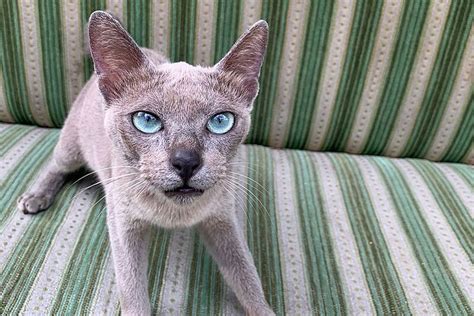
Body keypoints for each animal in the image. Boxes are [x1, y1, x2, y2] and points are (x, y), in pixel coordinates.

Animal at [15, 10, 274, 316]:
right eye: (146, 121)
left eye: (221, 122)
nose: (186, 162)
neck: (175, 215)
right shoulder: (123, 224)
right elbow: (132, 289)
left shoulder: (224, 220)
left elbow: (247, 276)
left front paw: (263, 309)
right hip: (71, 147)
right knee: (55, 165)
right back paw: (35, 198)